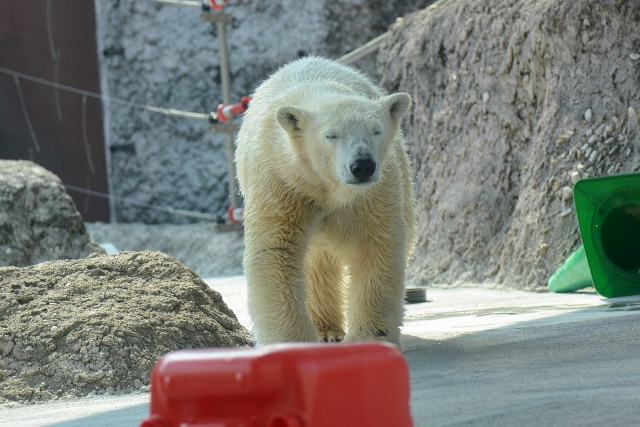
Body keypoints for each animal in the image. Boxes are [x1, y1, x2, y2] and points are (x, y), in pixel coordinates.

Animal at [235, 56, 416, 348]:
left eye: (376, 130)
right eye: (331, 135)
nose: (362, 166)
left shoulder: (373, 192)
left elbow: (376, 245)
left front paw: (369, 338)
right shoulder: (281, 181)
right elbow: (275, 249)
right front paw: (292, 343)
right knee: (315, 263)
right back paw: (326, 331)